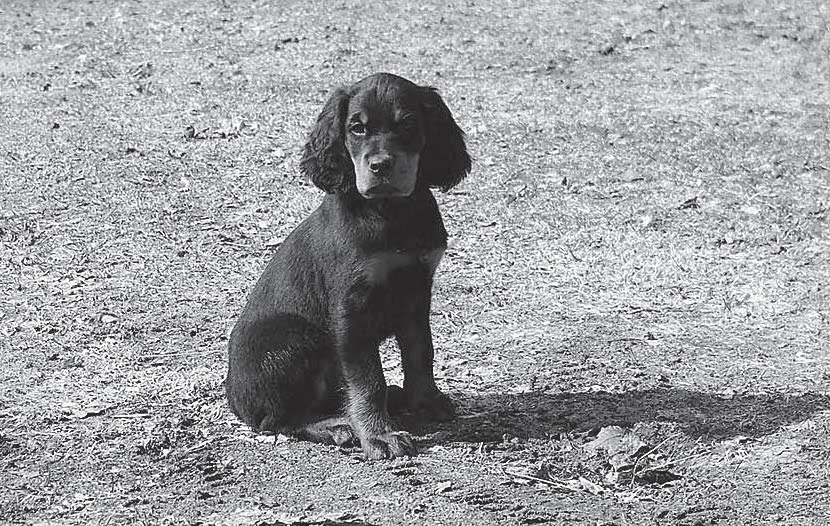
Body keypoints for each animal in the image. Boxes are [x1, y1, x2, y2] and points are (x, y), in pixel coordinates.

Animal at [228, 72, 472, 460]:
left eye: (408, 124)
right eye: (357, 128)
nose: (381, 166)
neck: (391, 213)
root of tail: (234, 400)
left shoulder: (417, 292)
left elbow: (421, 352)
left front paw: (425, 400)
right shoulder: (351, 309)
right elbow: (367, 379)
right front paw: (379, 434)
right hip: (296, 338)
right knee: (276, 421)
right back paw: (337, 426)